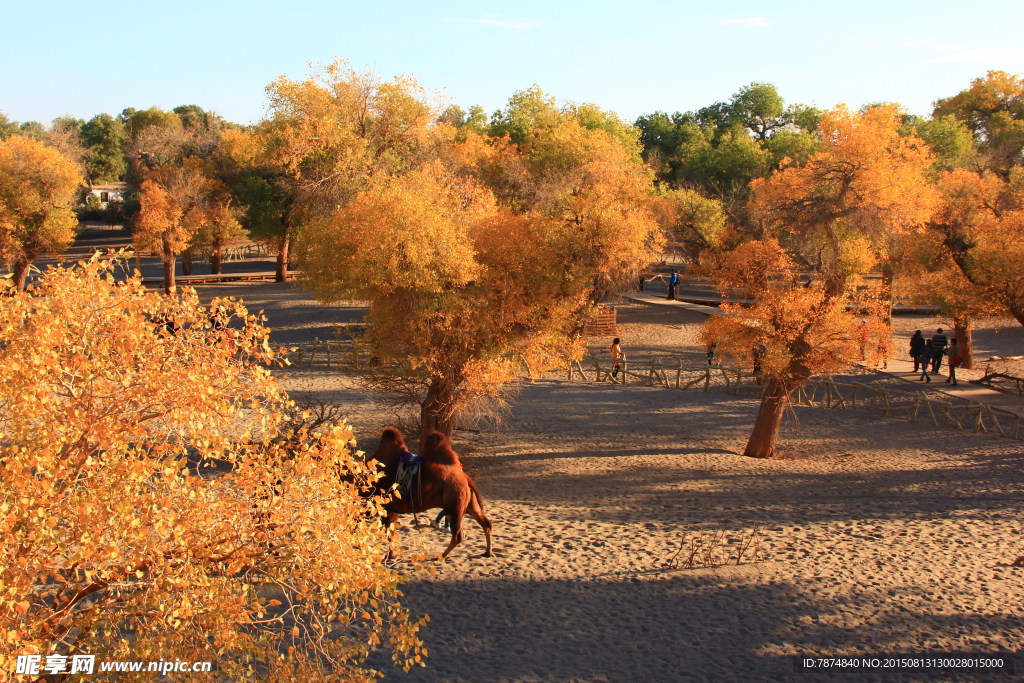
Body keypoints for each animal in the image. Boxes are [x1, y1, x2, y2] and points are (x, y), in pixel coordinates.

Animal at [370, 428, 493, 561]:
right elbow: (390, 531)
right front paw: (392, 554)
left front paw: (390, 555)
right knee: (486, 523)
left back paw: (441, 556)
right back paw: (488, 552)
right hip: (470, 502)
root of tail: (465, 477)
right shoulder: (391, 509)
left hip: (454, 504)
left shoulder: (386, 507)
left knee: (458, 535)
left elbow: (388, 531)